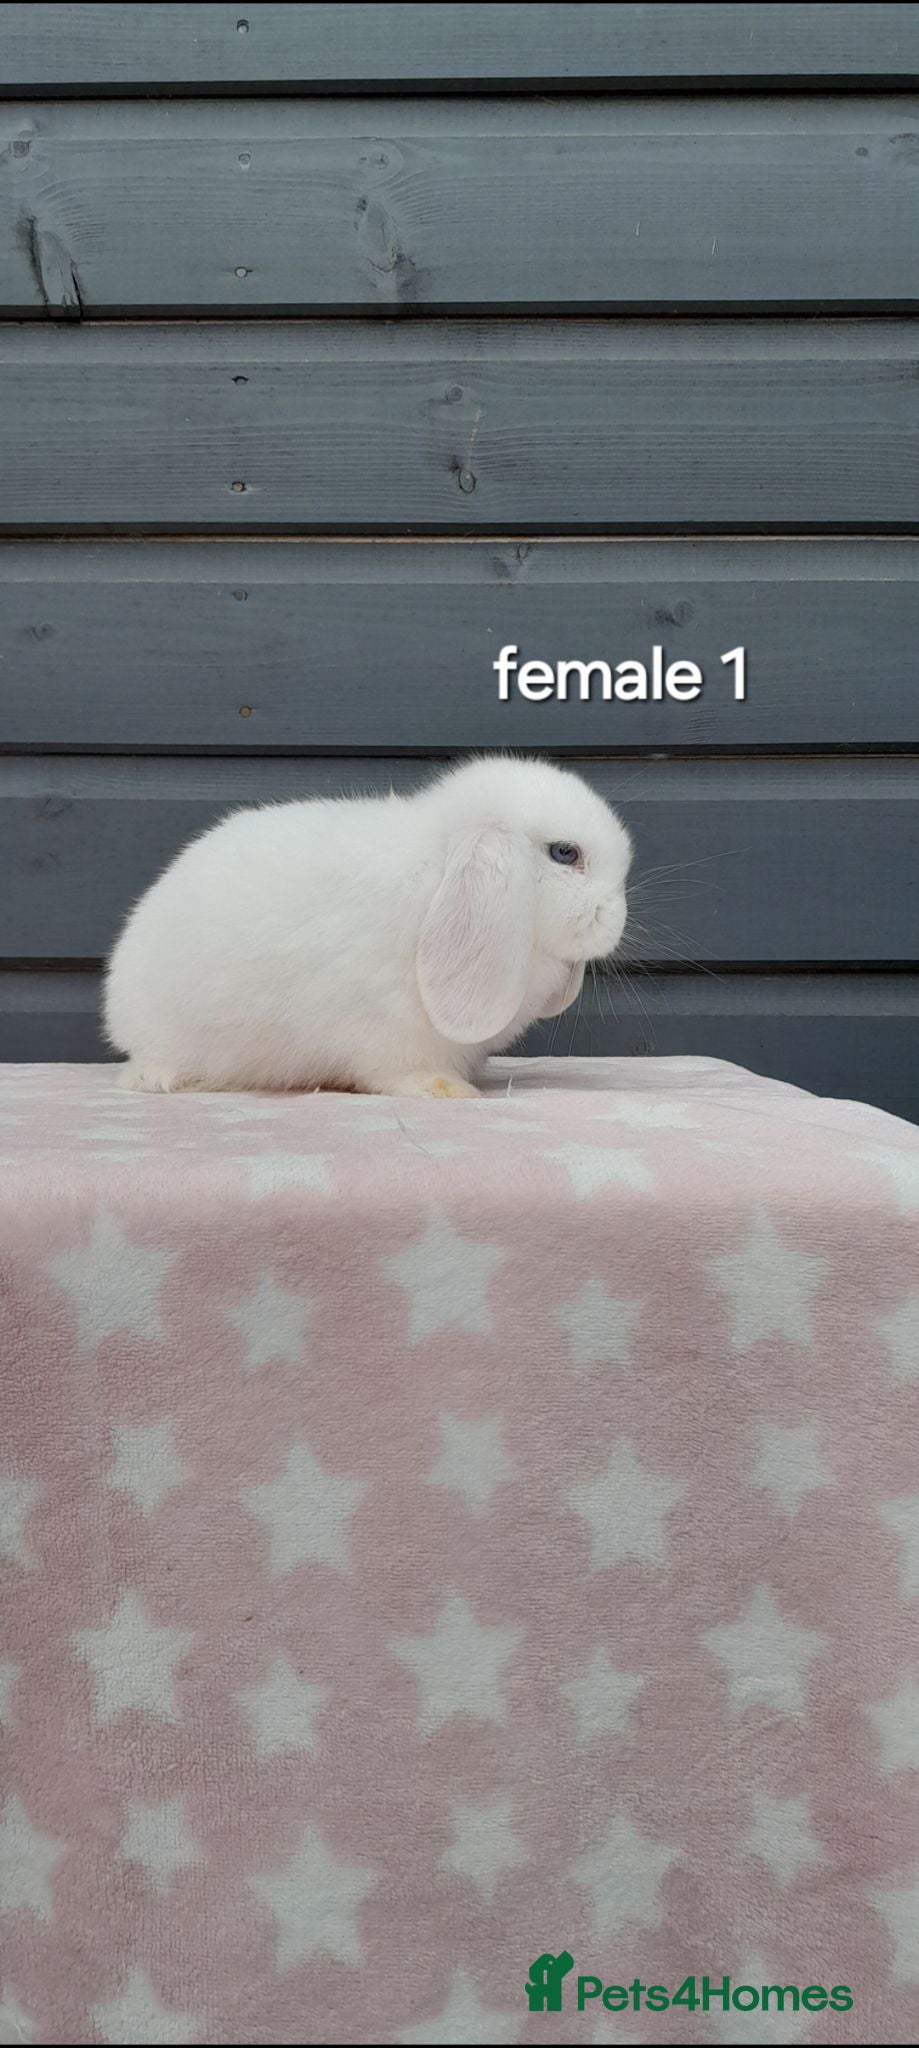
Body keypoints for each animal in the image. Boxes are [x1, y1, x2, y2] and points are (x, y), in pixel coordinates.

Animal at [103, 754, 632, 1097]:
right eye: (565, 853)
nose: (617, 921)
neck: (439, 872)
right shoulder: (385, 1031)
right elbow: (396, 1072)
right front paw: (446, 1089)